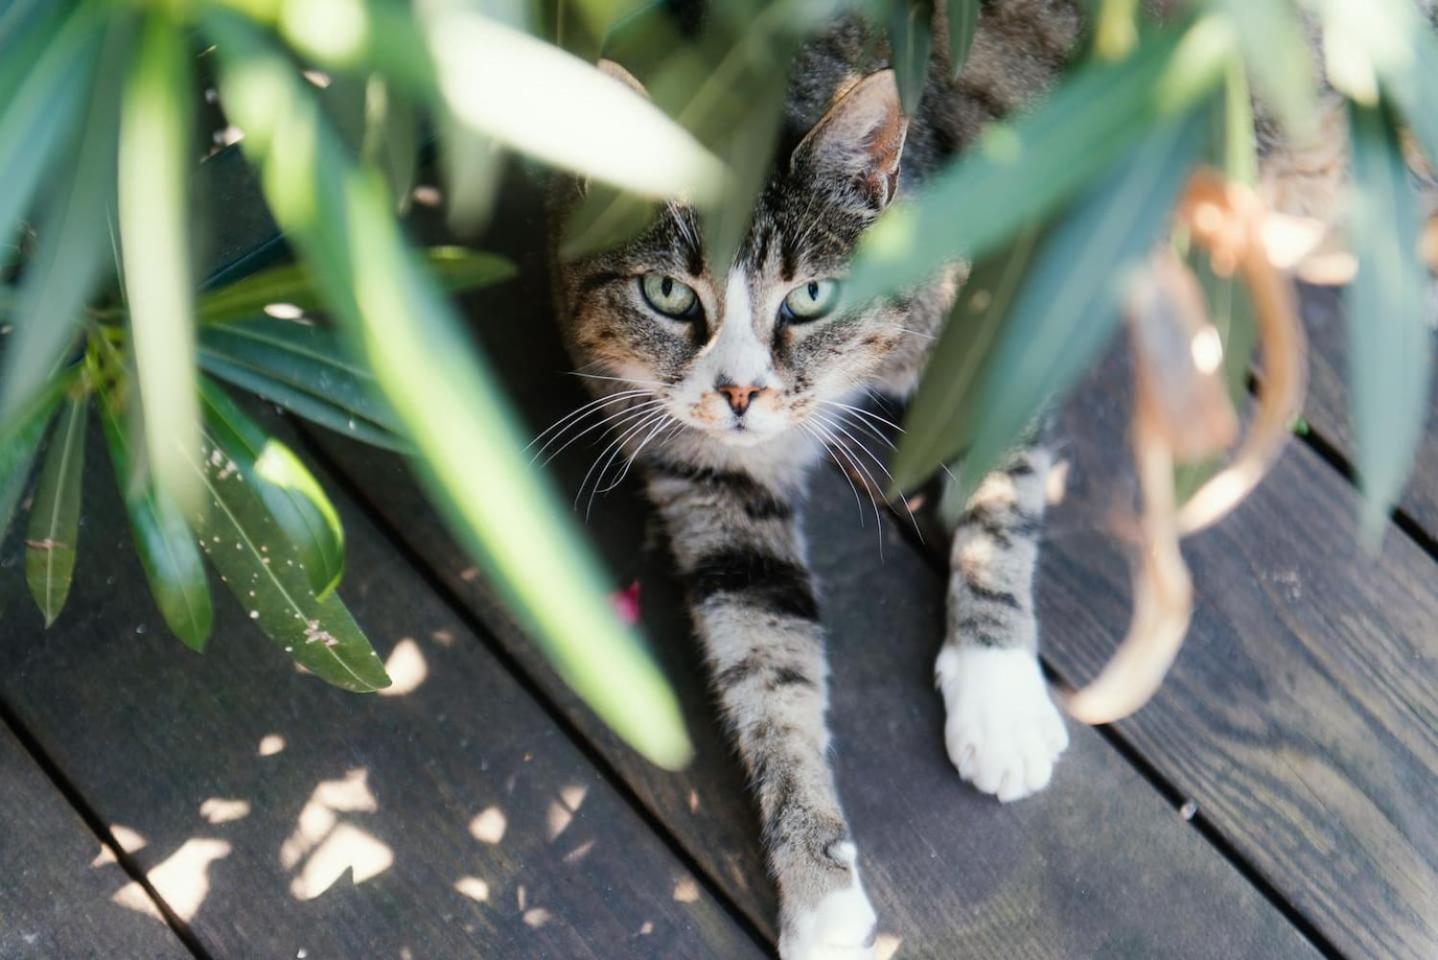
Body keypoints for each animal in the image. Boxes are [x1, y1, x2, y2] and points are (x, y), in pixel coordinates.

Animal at [540, 3, 1391, 954]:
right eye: (667, 295)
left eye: (810, 298)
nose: (740, 395)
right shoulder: (710, 480)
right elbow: (765, 669)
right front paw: (820, 892)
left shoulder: (1008, 326)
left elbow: (1000, 511)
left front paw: (998, 698)